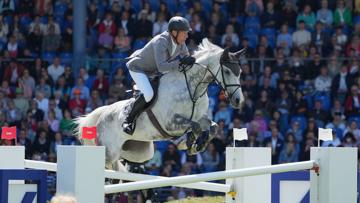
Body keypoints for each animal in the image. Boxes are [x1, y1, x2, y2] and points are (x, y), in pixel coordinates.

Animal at [75, 38, 245, 169]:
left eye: (240, 72)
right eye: (227, 71)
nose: (238, 101)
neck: (192, 88)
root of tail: (101, 115)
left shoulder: (199, 117)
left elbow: (213, 127)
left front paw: (197, 144)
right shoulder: (170, 123)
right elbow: (195, 127)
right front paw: (190, 142)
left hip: (138, 152)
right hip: (109, 153)